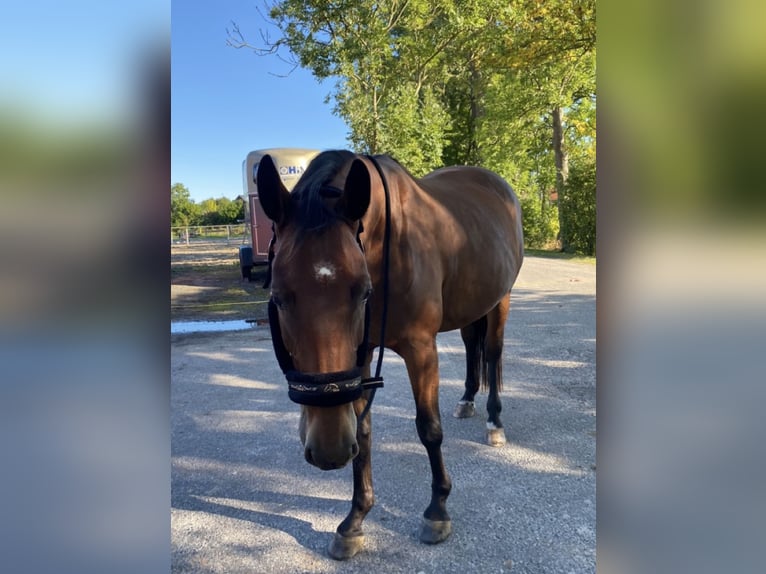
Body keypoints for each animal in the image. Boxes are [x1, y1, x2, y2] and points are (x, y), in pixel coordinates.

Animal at [260, 151, 524, 560]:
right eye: (278, 295)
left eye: (362, 291)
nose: (329, 449)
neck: (387, 246)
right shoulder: (361, 356)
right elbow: (363, 432)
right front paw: (355, 519)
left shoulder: (421, 349)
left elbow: (429, 428)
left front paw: (437, 511)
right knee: (471, 346)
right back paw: (466, 400)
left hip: (501, 300)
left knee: (492, 354)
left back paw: (495, 422)